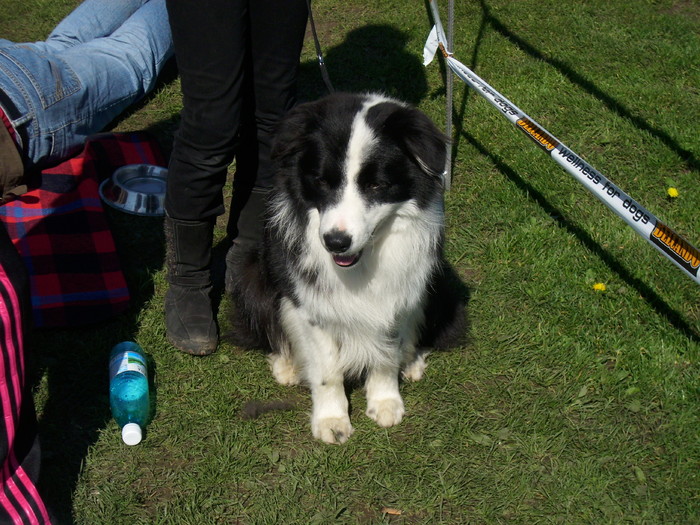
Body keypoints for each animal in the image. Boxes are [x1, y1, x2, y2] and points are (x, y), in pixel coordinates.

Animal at [231, 91, 464, 442]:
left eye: (377, 185)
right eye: (320, 181)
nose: (336, 242)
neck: (364, 261)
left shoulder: (397, 295)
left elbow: (387, 352)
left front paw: (385, 401)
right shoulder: (310, 305)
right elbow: (327, 370)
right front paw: (331, 420)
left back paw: (411, 361)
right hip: (250, 273)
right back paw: (286, 365)